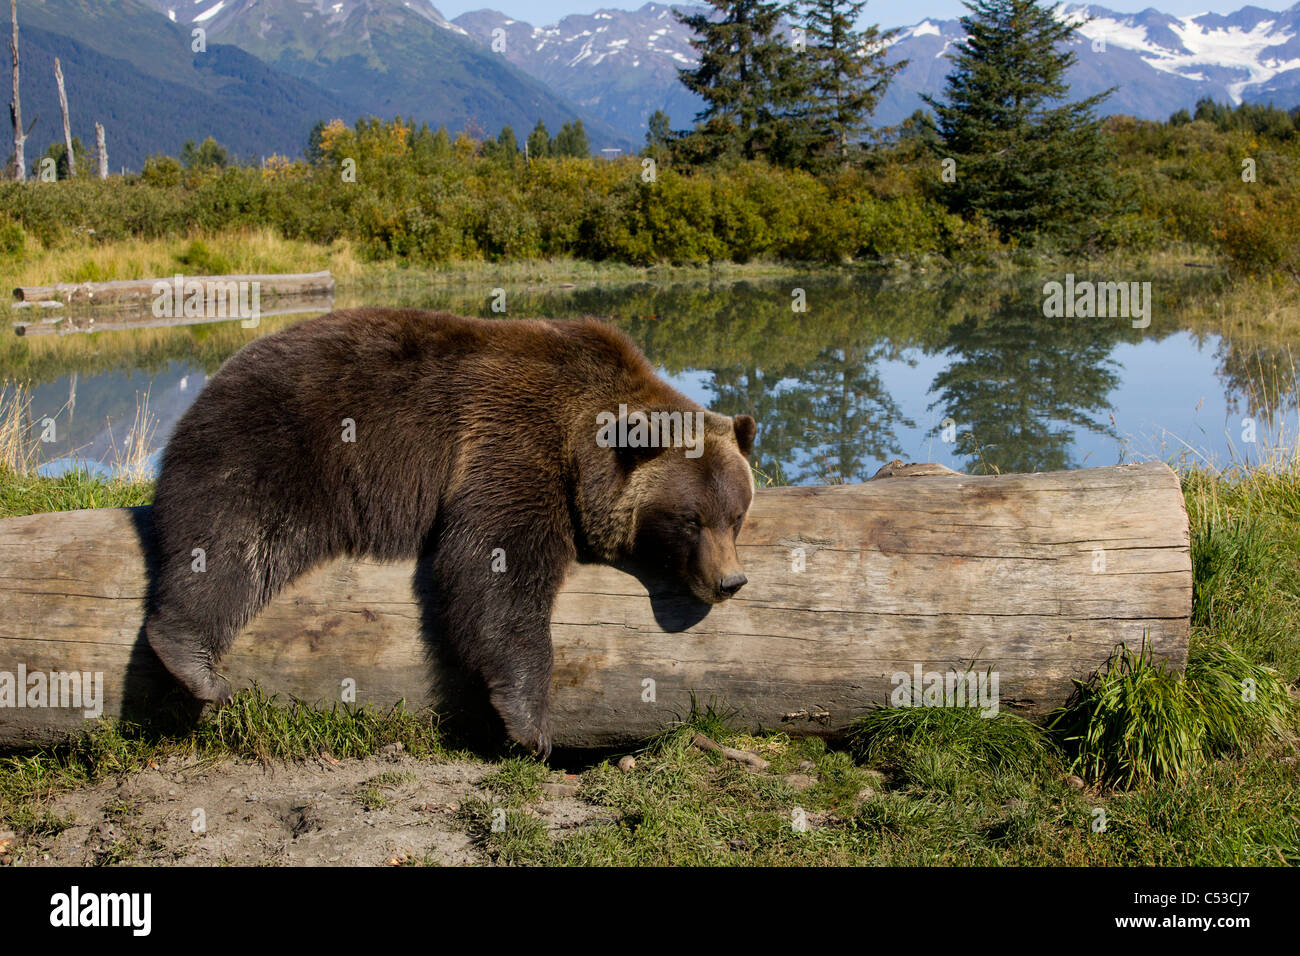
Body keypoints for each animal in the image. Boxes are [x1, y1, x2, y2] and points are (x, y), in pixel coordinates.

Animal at [146, 310, 759, 759]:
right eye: (690, 519)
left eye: (736, 515)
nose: (730, 581)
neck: (582, 445)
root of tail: (216, 376)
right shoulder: (512, 436)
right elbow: (495, 563)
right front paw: (530, 722)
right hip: (281, 444)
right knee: (233, 538)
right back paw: (192, 659)